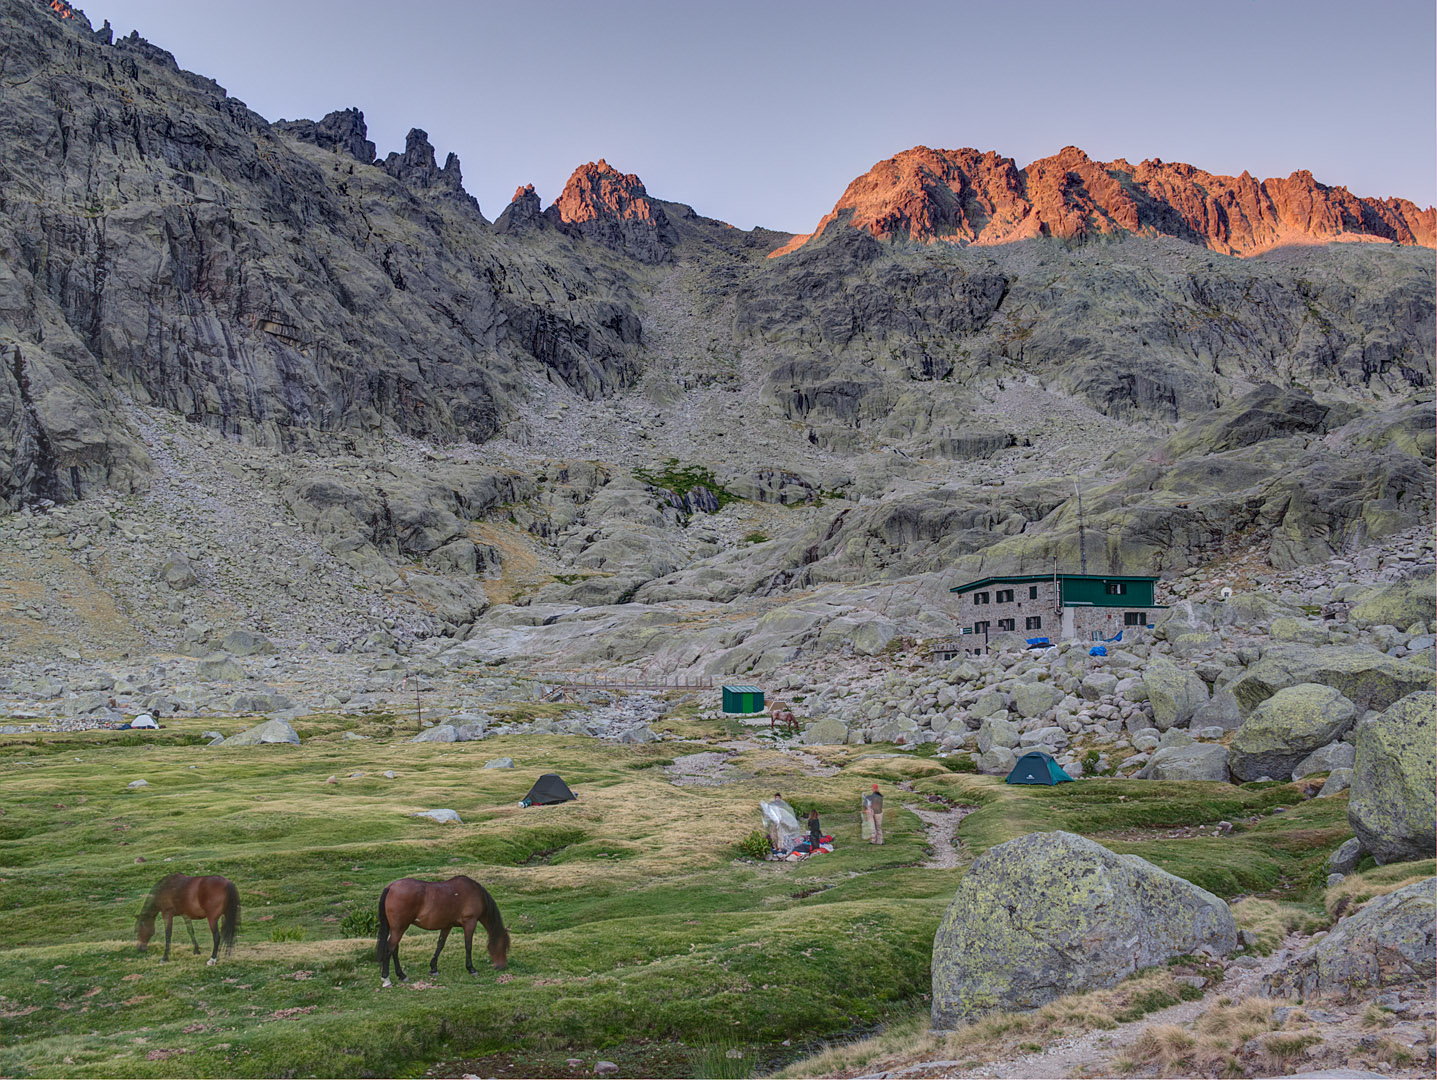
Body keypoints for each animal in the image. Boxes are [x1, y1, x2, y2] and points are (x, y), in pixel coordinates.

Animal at [376, 878, 511, 988]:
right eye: (504, 946)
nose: (502, 966)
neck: (475, 893)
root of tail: (391, 887)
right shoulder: (470, 923)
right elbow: (468, 946)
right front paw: (471, 968)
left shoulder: (447, 926)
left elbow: (440, 945)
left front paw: (433, 968)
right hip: (399, 928)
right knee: (389, 949)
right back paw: (386, 979)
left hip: (397, 929)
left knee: (395, 949)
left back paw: (401, 975)